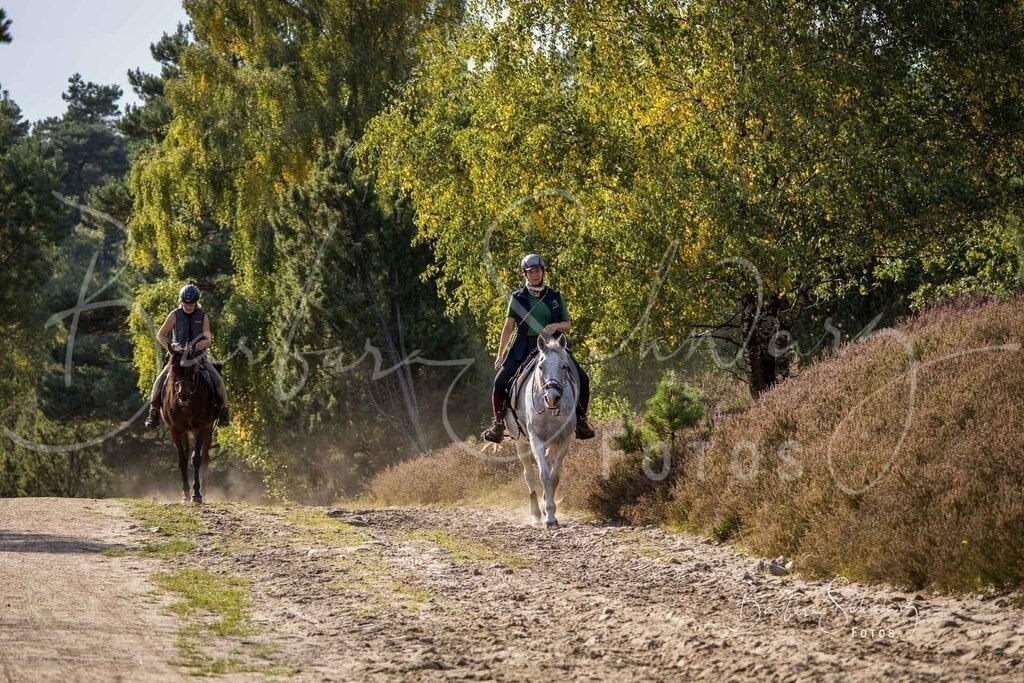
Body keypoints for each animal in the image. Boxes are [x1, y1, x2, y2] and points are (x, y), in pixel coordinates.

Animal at [159, 343, 216, 503]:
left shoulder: (200, 427)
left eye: (192, 369)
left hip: (208, 430)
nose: (182, 394)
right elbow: (183, 460)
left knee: (205, 458)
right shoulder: (176, 430)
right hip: (185, 431)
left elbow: (196, 459)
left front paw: (196, 494)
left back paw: (204, 492)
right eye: (173, 368)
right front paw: (185, 493)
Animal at [506, 333, 578, 528]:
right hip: (520, 442)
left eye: (564, 366)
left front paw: (550, 510)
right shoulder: (535, 438)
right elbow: (544, 475)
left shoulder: (563, 439)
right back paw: (536, 514)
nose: (552, 398)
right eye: (540, 366)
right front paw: (549, 517)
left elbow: (554, 476)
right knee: (529, 475)